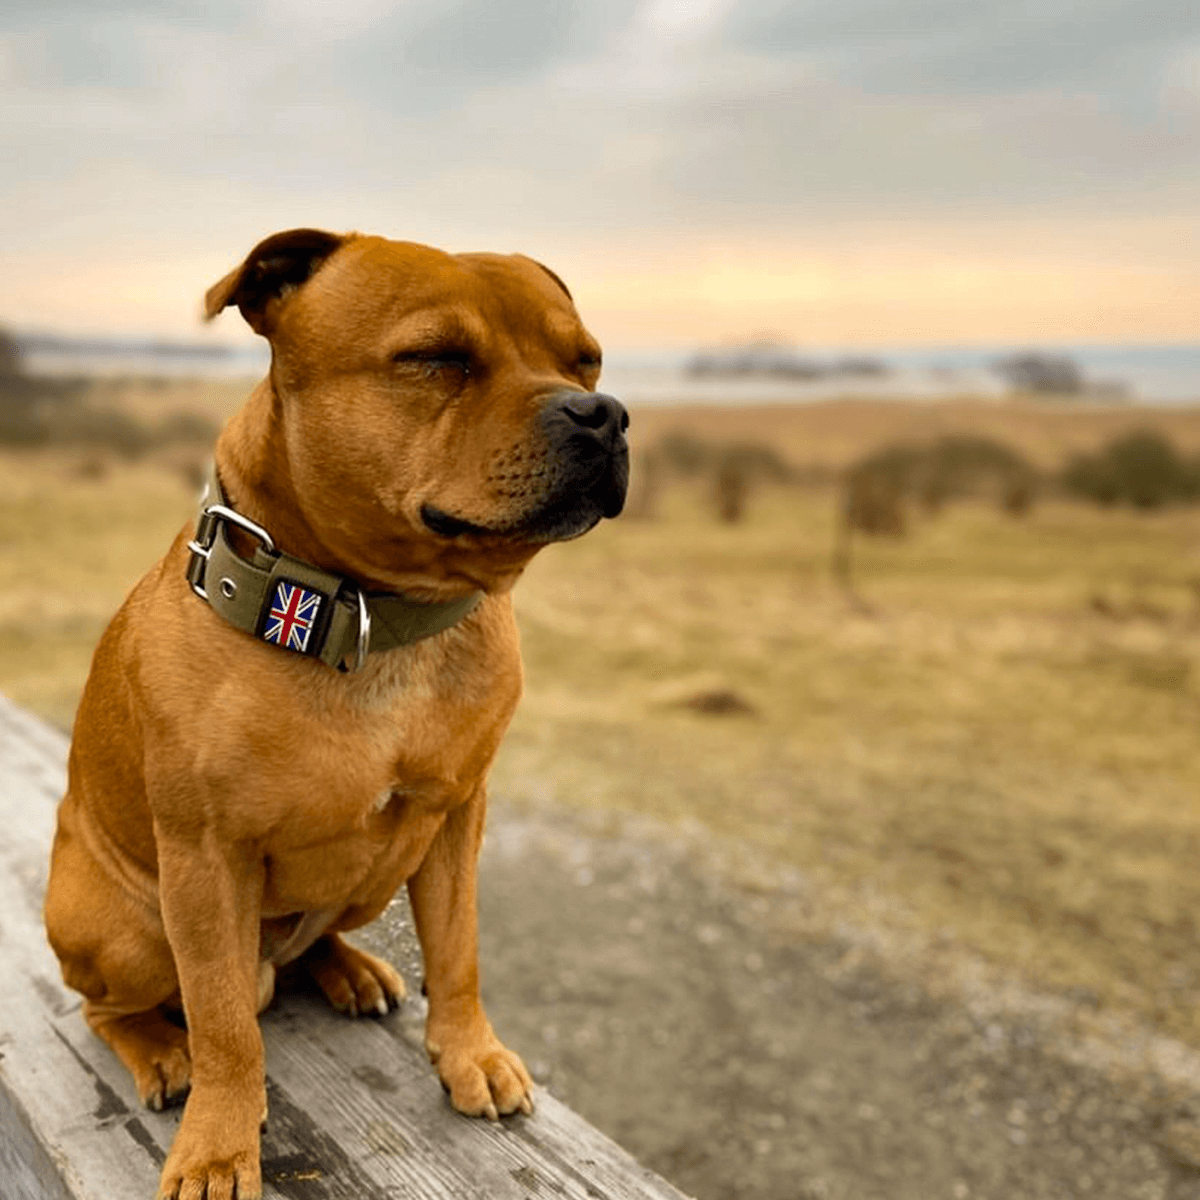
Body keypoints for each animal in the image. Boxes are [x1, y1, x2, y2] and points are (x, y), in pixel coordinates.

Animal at [43, 226, 633, 1200]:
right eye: (436, 359)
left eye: (585, 360)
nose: (603, 414)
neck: (371, 614)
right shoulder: (206, 860)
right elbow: (223, 1024)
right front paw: (218, 1145)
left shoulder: (456, 816)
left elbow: (458, 951)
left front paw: (469, 1055)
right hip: (125, 929)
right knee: (112, 1006)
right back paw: (160, 1050)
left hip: (375, 878)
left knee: (311, 945)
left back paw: (347, 970)